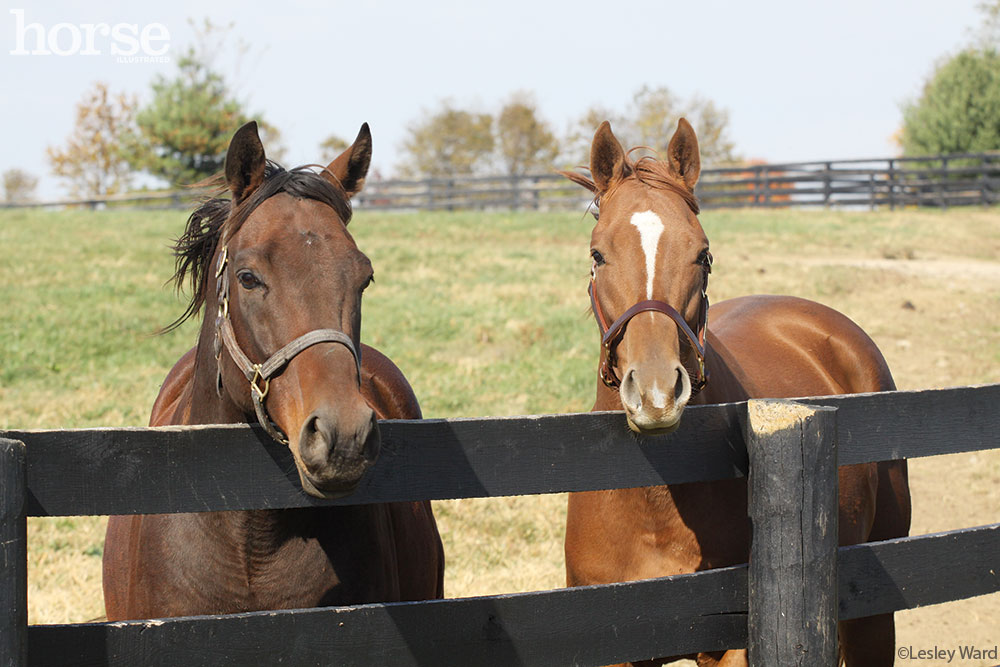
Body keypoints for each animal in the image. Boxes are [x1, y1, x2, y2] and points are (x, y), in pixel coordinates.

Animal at [560, 121, 912, 667]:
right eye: (598, 255)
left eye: (702, 255)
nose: (657, 393)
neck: (652, 503)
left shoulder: (728, 646)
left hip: (874, 619)